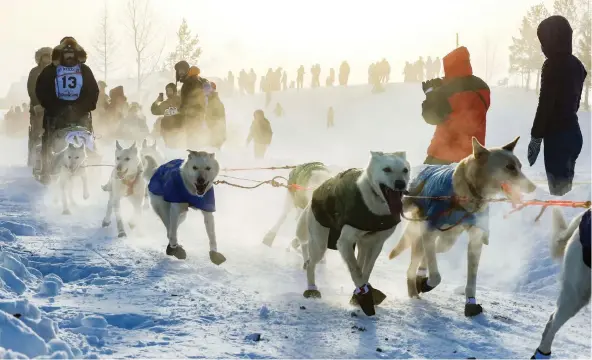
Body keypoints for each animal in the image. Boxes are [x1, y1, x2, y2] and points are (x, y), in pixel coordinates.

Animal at [294, 151, 410, 316]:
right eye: (387, 169)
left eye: (405, 170)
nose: (400, 183)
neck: (375, 208)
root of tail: (312, 199)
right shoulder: (344, 242)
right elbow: (356, 271)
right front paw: (364, 296)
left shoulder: (376, 243)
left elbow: (366, 270)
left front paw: (359, 294)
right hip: (320, 244)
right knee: (311, 263)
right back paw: (312, 289)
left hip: (361, 244)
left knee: (360, 262)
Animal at [386, 136, 540, 316]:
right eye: (509, 167)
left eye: (520, 166)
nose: (533, 187)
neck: (470, 196)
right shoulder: (430, 230)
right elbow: (436, 276)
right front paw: (426, 283)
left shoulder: (476, 240)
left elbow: (471, 280)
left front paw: (470, 303)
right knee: (417, 262)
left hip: (446, 240)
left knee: (424, 255)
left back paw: (417, 283)